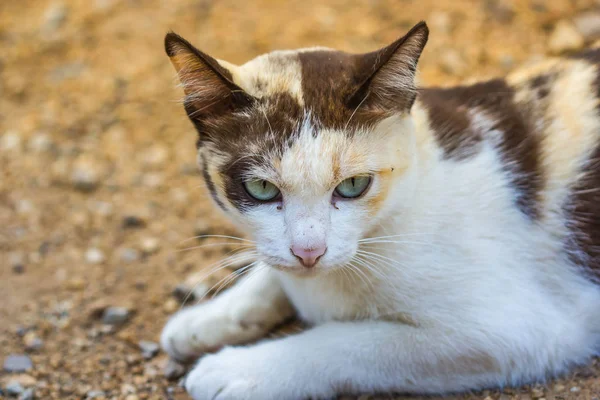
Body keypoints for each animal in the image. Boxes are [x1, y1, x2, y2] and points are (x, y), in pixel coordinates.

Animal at [158, 22, 600, 400]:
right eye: (262, 189)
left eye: (353, 186)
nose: (309, 252)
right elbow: (273, 273)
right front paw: (205, 320)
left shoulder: (516, 330)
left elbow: (348, 342)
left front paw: (240, 370)